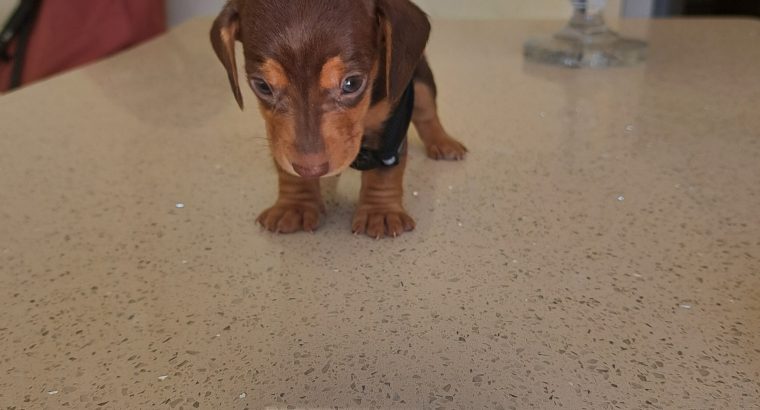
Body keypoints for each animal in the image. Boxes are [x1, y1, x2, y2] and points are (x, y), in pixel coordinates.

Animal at [211, 0, 466, 239]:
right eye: (262, 86)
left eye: (352, 83)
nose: (312, 169)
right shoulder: (276, 132)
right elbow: (286, 166)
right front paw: (295, 205)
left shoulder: (391, 122)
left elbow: (384, 171)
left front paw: (380, 212)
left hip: (420, 80)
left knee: (427, 113)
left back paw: (443, 143)